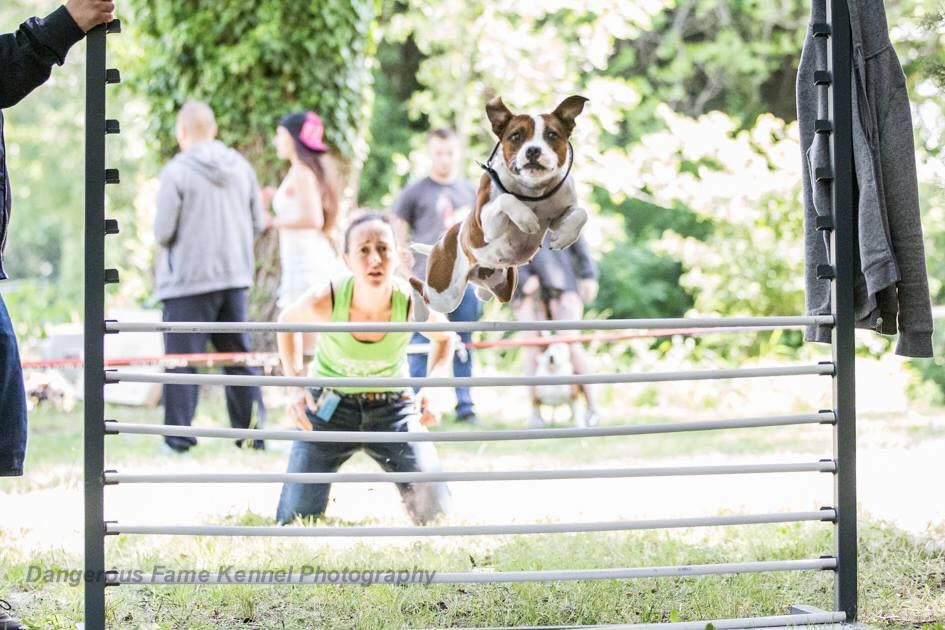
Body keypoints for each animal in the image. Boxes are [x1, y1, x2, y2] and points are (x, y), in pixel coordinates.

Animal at [410, 95, 588, 314]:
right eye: (516, 136)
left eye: (552, 135)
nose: (533, 150)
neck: (533, 191)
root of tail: (442, 240)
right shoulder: (487, 226)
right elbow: (506, 198)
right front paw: (526, 218)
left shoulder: (557, 214)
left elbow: (581, 213)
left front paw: (564, 237)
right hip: (443, 294)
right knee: (417, 285)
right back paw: (420, 311)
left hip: (503, 286)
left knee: (486, 292)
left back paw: (482, 291)